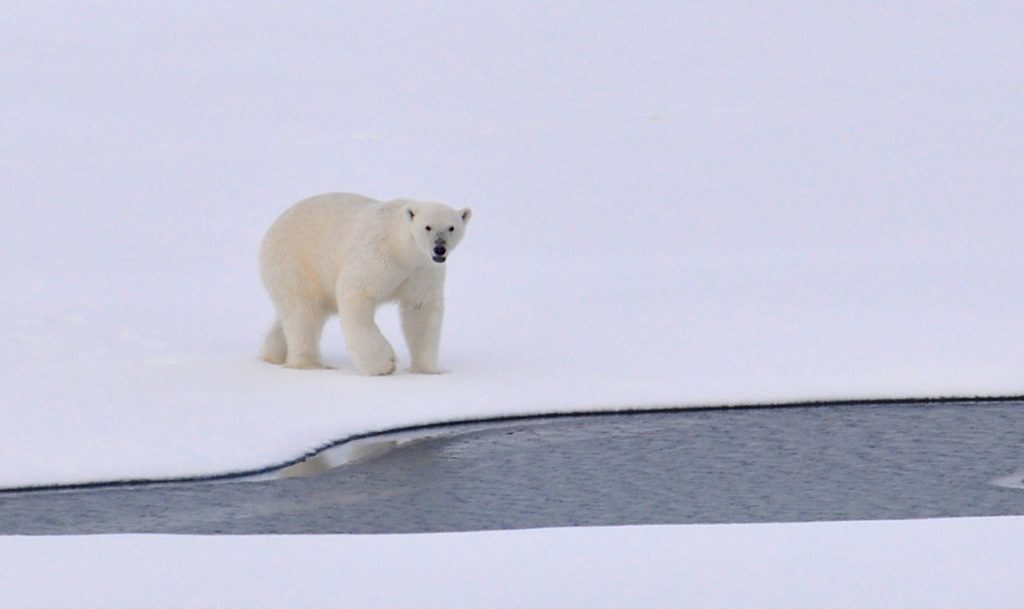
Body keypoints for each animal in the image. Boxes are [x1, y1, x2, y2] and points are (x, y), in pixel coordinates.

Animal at [259, 192, 471, 375]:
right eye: (427, 227)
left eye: (452, 227)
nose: (439, 248)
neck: (401, 249)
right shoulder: (377, 254)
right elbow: (356, 292)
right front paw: (384, 364)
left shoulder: (422, 270)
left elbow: (421, 309)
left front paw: (429, 369)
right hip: (296, 263)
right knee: (303, 312)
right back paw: (310, 364)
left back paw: (273, 354)